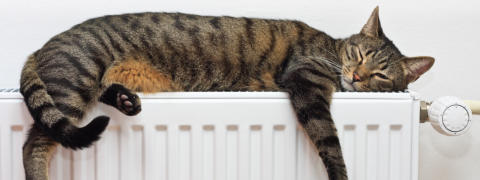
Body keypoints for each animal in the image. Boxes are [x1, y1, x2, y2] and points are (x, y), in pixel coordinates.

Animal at [18, 6, 434, 180]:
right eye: (358, 55)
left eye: (380, 75)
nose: (357, 77)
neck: (332, 50)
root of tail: (40, 47)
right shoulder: (307, 81)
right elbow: (329, 141)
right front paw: (341, 174)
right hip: (74, 82)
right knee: (33, 144)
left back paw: (124, 99)